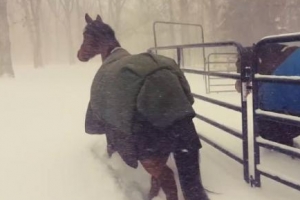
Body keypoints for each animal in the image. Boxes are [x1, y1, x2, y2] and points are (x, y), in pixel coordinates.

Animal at [77, 14, 209, 200]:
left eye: (85, 34)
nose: (79, 55)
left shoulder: (111, 132)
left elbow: (109, 150)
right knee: (157, 181)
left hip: (150, 158)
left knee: (167, 180)